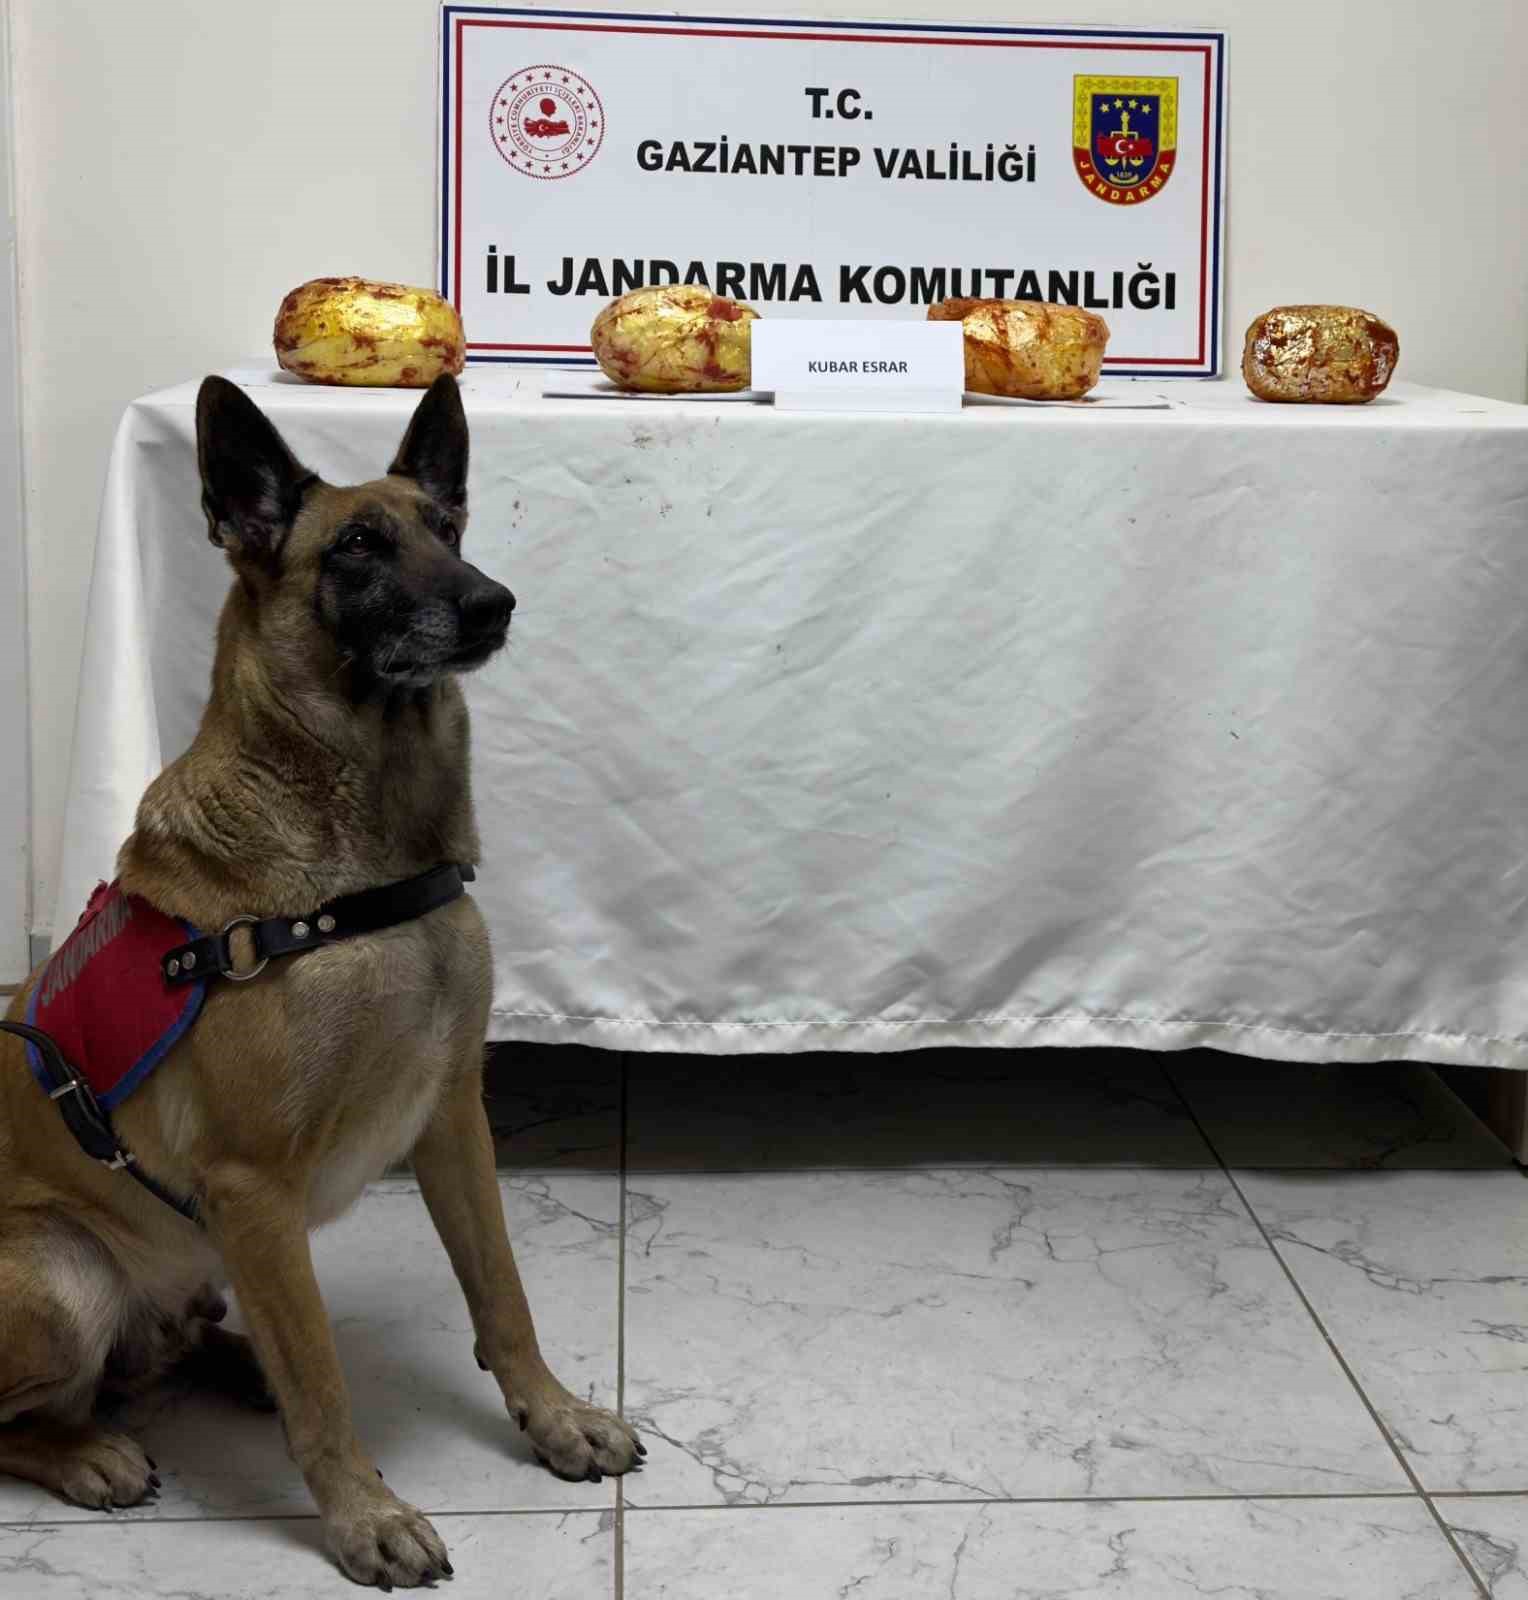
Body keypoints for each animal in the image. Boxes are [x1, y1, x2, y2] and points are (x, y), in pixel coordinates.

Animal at [0, 374, 646, 1587]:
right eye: (356, 547)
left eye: (448, 530)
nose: (493, 605)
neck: (358, 875)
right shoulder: (253, 1188)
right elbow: (326, 1391)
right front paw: (362, 1514)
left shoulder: (453, 1121)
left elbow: (502, 1297)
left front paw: (553, 1417)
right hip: (65, 1273)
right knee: (33, 1409)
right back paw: (89, 1450)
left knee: (188, 1339)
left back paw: (226, 1360)